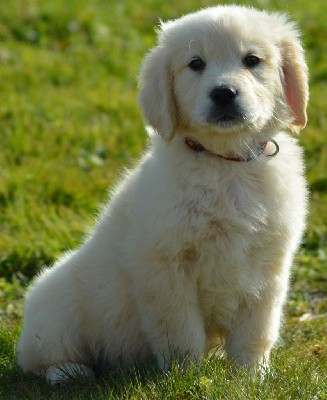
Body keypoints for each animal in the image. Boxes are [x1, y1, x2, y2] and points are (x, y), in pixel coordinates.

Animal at [18, 4, 310, 382]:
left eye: (252, 60)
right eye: (196, 64)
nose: (223, 93)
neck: (224, 164)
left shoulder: (268, 264)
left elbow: (256, 331)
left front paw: (249, 378)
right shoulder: (164, 266)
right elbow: (181, 330)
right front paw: (186, 376)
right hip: (53, 304)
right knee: (38, 357)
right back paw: (69, 372)